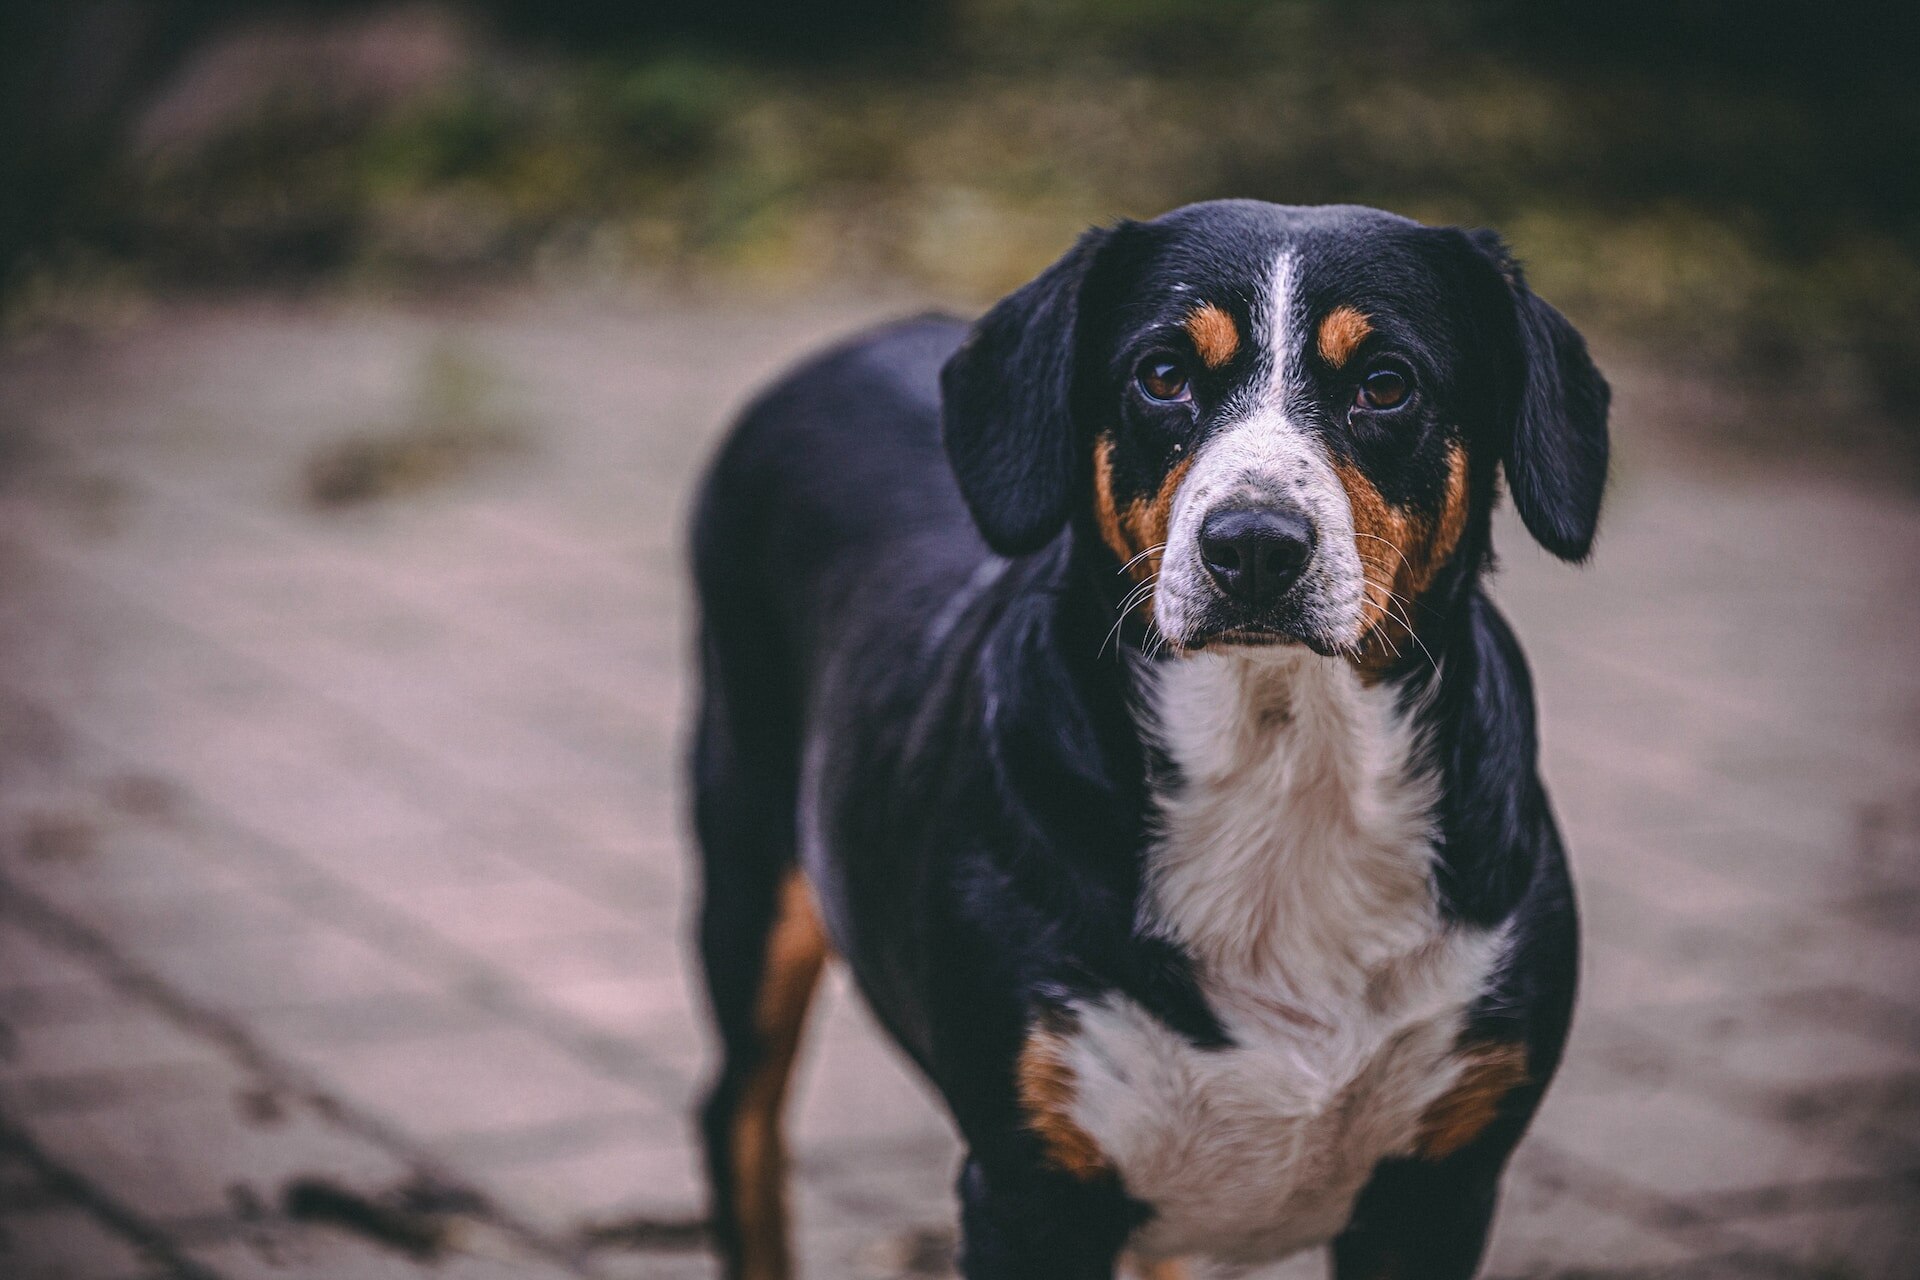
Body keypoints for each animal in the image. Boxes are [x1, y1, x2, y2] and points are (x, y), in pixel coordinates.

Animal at [691, 200, 1605, 1280]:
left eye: (1387, 384)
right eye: (1163, 374)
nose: (1254, 543)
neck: (1281, 766)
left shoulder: (1440, 1188)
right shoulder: (1032, 1188)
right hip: (748, 854)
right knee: (736, 1114)